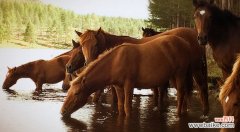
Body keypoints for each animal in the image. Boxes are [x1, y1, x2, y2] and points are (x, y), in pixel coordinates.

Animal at [70, 27, 209, 115]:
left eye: (96, 44)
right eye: (81, 45)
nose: (68, 67)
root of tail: (194, 34)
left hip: (194, 69)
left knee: (201, 87)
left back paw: (204, 113)